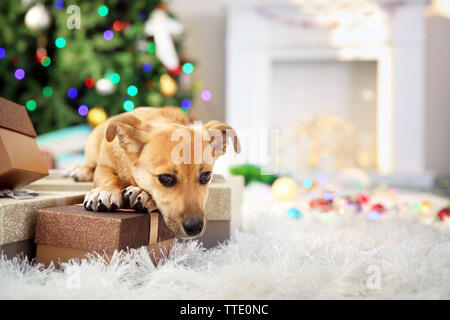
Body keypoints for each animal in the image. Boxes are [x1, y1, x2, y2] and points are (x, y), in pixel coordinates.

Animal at [69, 106, 239, 239]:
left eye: (206, 176)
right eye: (166, 178)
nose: (195, 227)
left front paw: (143, 194)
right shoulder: (104, 166)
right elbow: (110, 178)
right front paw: (106, 190)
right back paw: (82, 171)